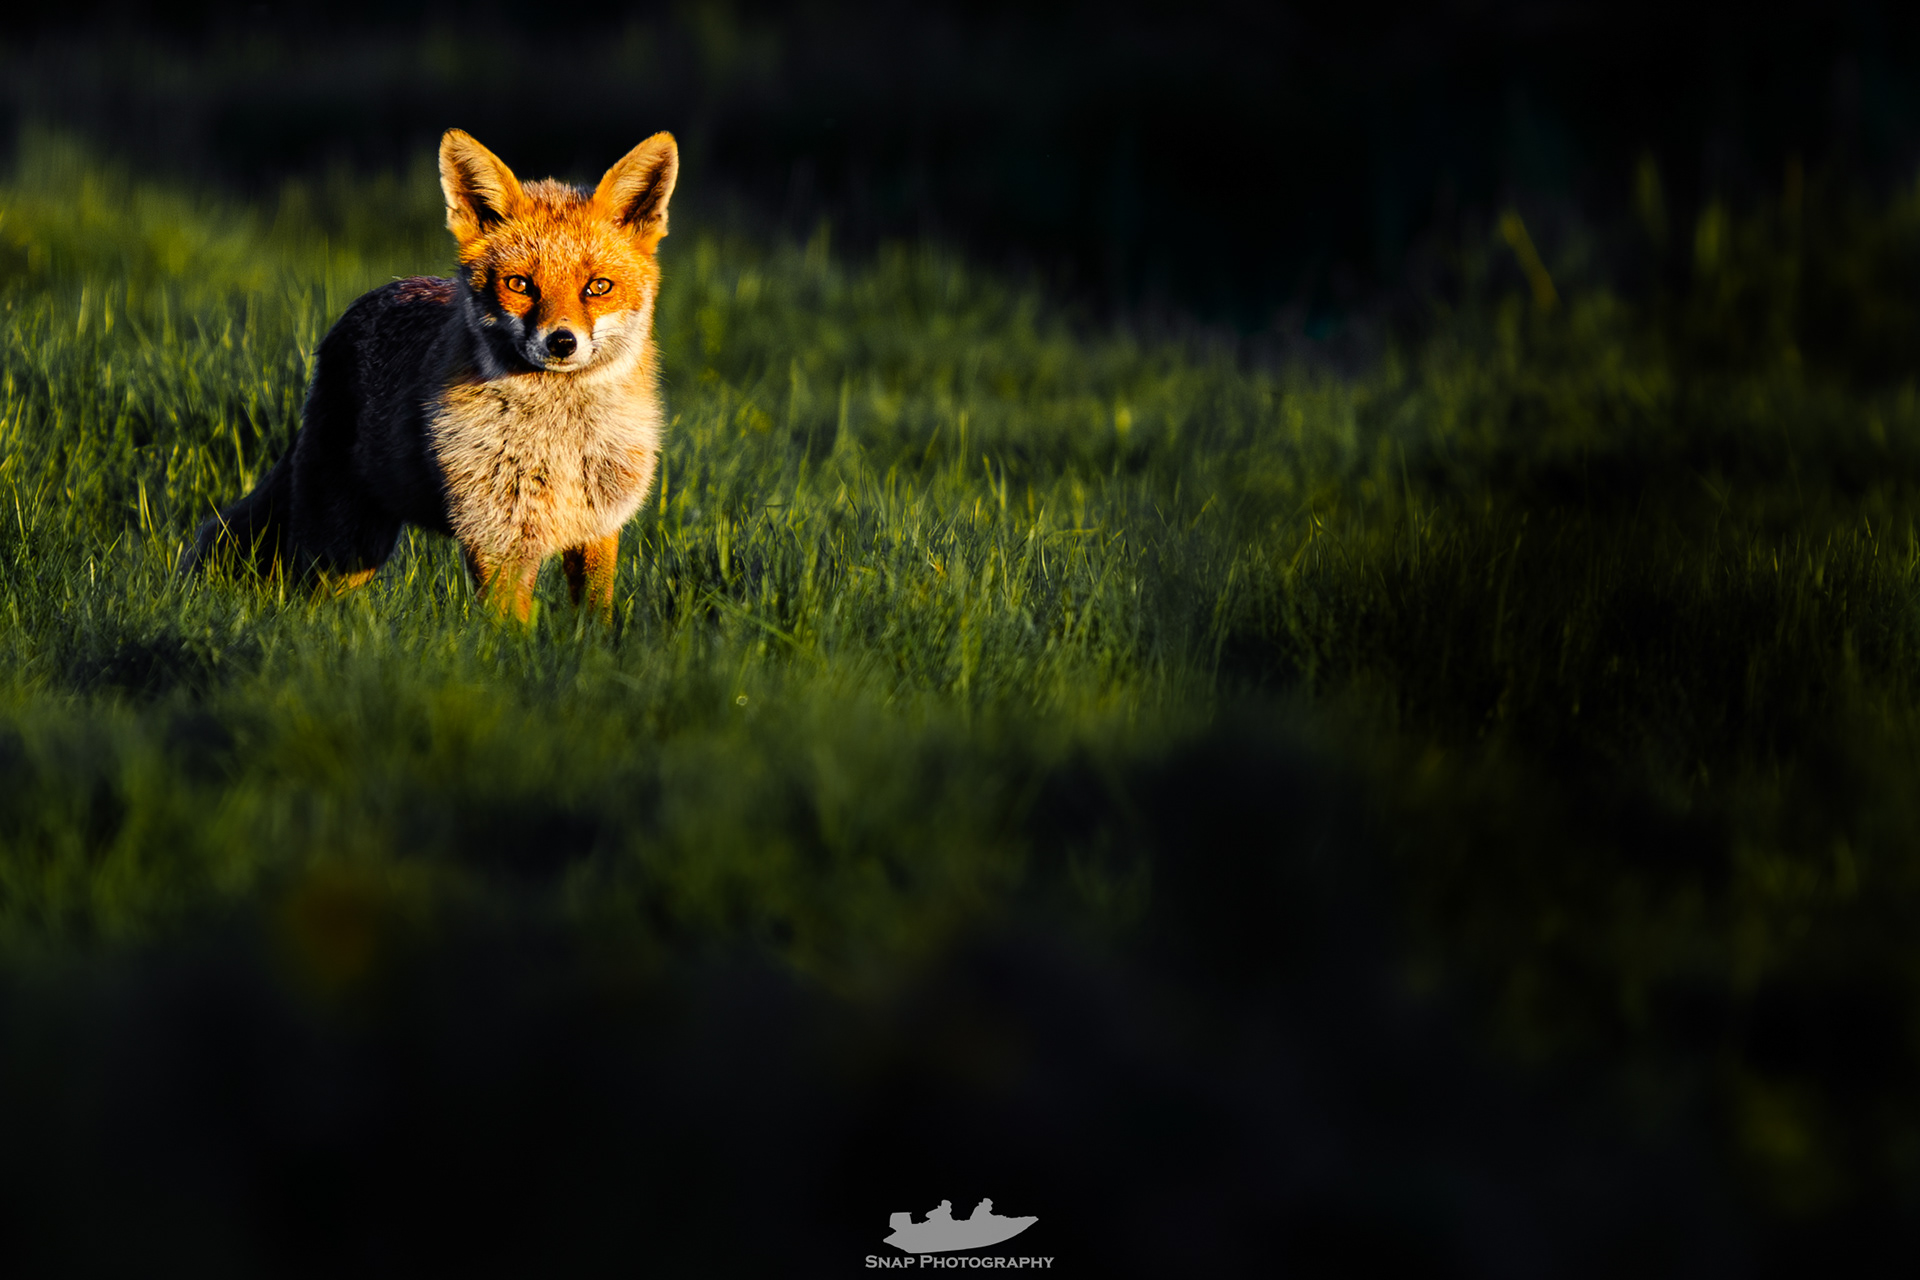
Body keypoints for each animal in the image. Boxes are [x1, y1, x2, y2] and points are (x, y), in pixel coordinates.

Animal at [184, 128, 680, 623]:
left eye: (598, 287)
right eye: (519, 285)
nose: (561, 342)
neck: (558, 440)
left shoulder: (597, 526)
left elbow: (595, 620)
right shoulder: (497, 532)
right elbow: (509, 629)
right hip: (347, 546)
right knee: (304, 599)